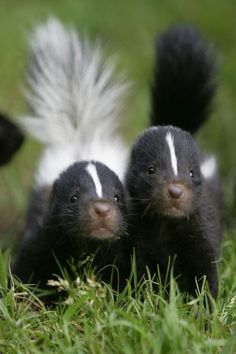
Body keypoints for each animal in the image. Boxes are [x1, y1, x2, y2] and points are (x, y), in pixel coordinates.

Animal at [12, 17, 131, 298]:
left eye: (117, 197)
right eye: (73, 198)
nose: (102, 209)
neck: (86, 244)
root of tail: (80, 134)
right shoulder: (46, 232)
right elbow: (27, 266)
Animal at [125, 24, 223, 298]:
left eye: (191, 173)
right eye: (151, 169)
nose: (175, 191)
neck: (167, 225)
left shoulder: (201, 227)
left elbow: (206, 271)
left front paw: (206, 305)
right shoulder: (140, 236)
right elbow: (141, 272)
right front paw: (143, 297)